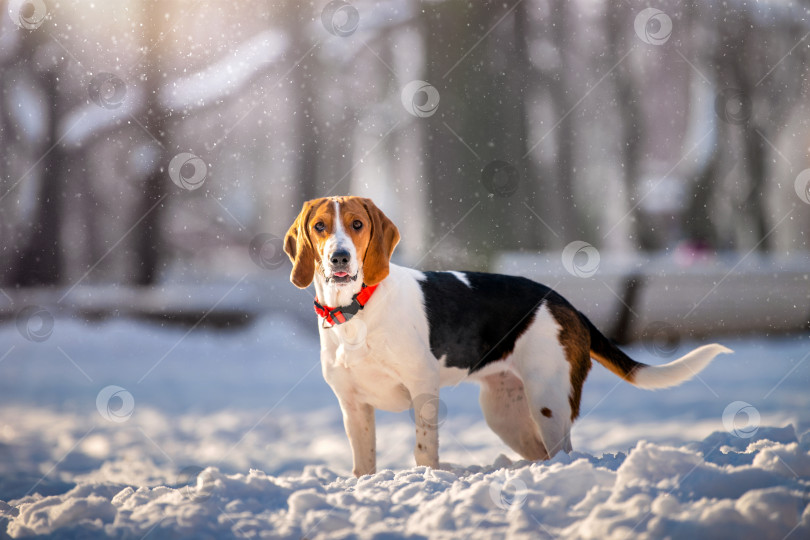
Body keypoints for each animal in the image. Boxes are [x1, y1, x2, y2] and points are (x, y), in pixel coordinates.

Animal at [286, 196, 732, 474]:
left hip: (549, 403)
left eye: (358, 225)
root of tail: (563, 302)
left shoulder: (423, 391)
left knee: (562, 453)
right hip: (505, 413)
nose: (339, 257)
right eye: (320, 226)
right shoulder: (353, 406)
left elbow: (424, 451)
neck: (356, 309)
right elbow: (363, 464)